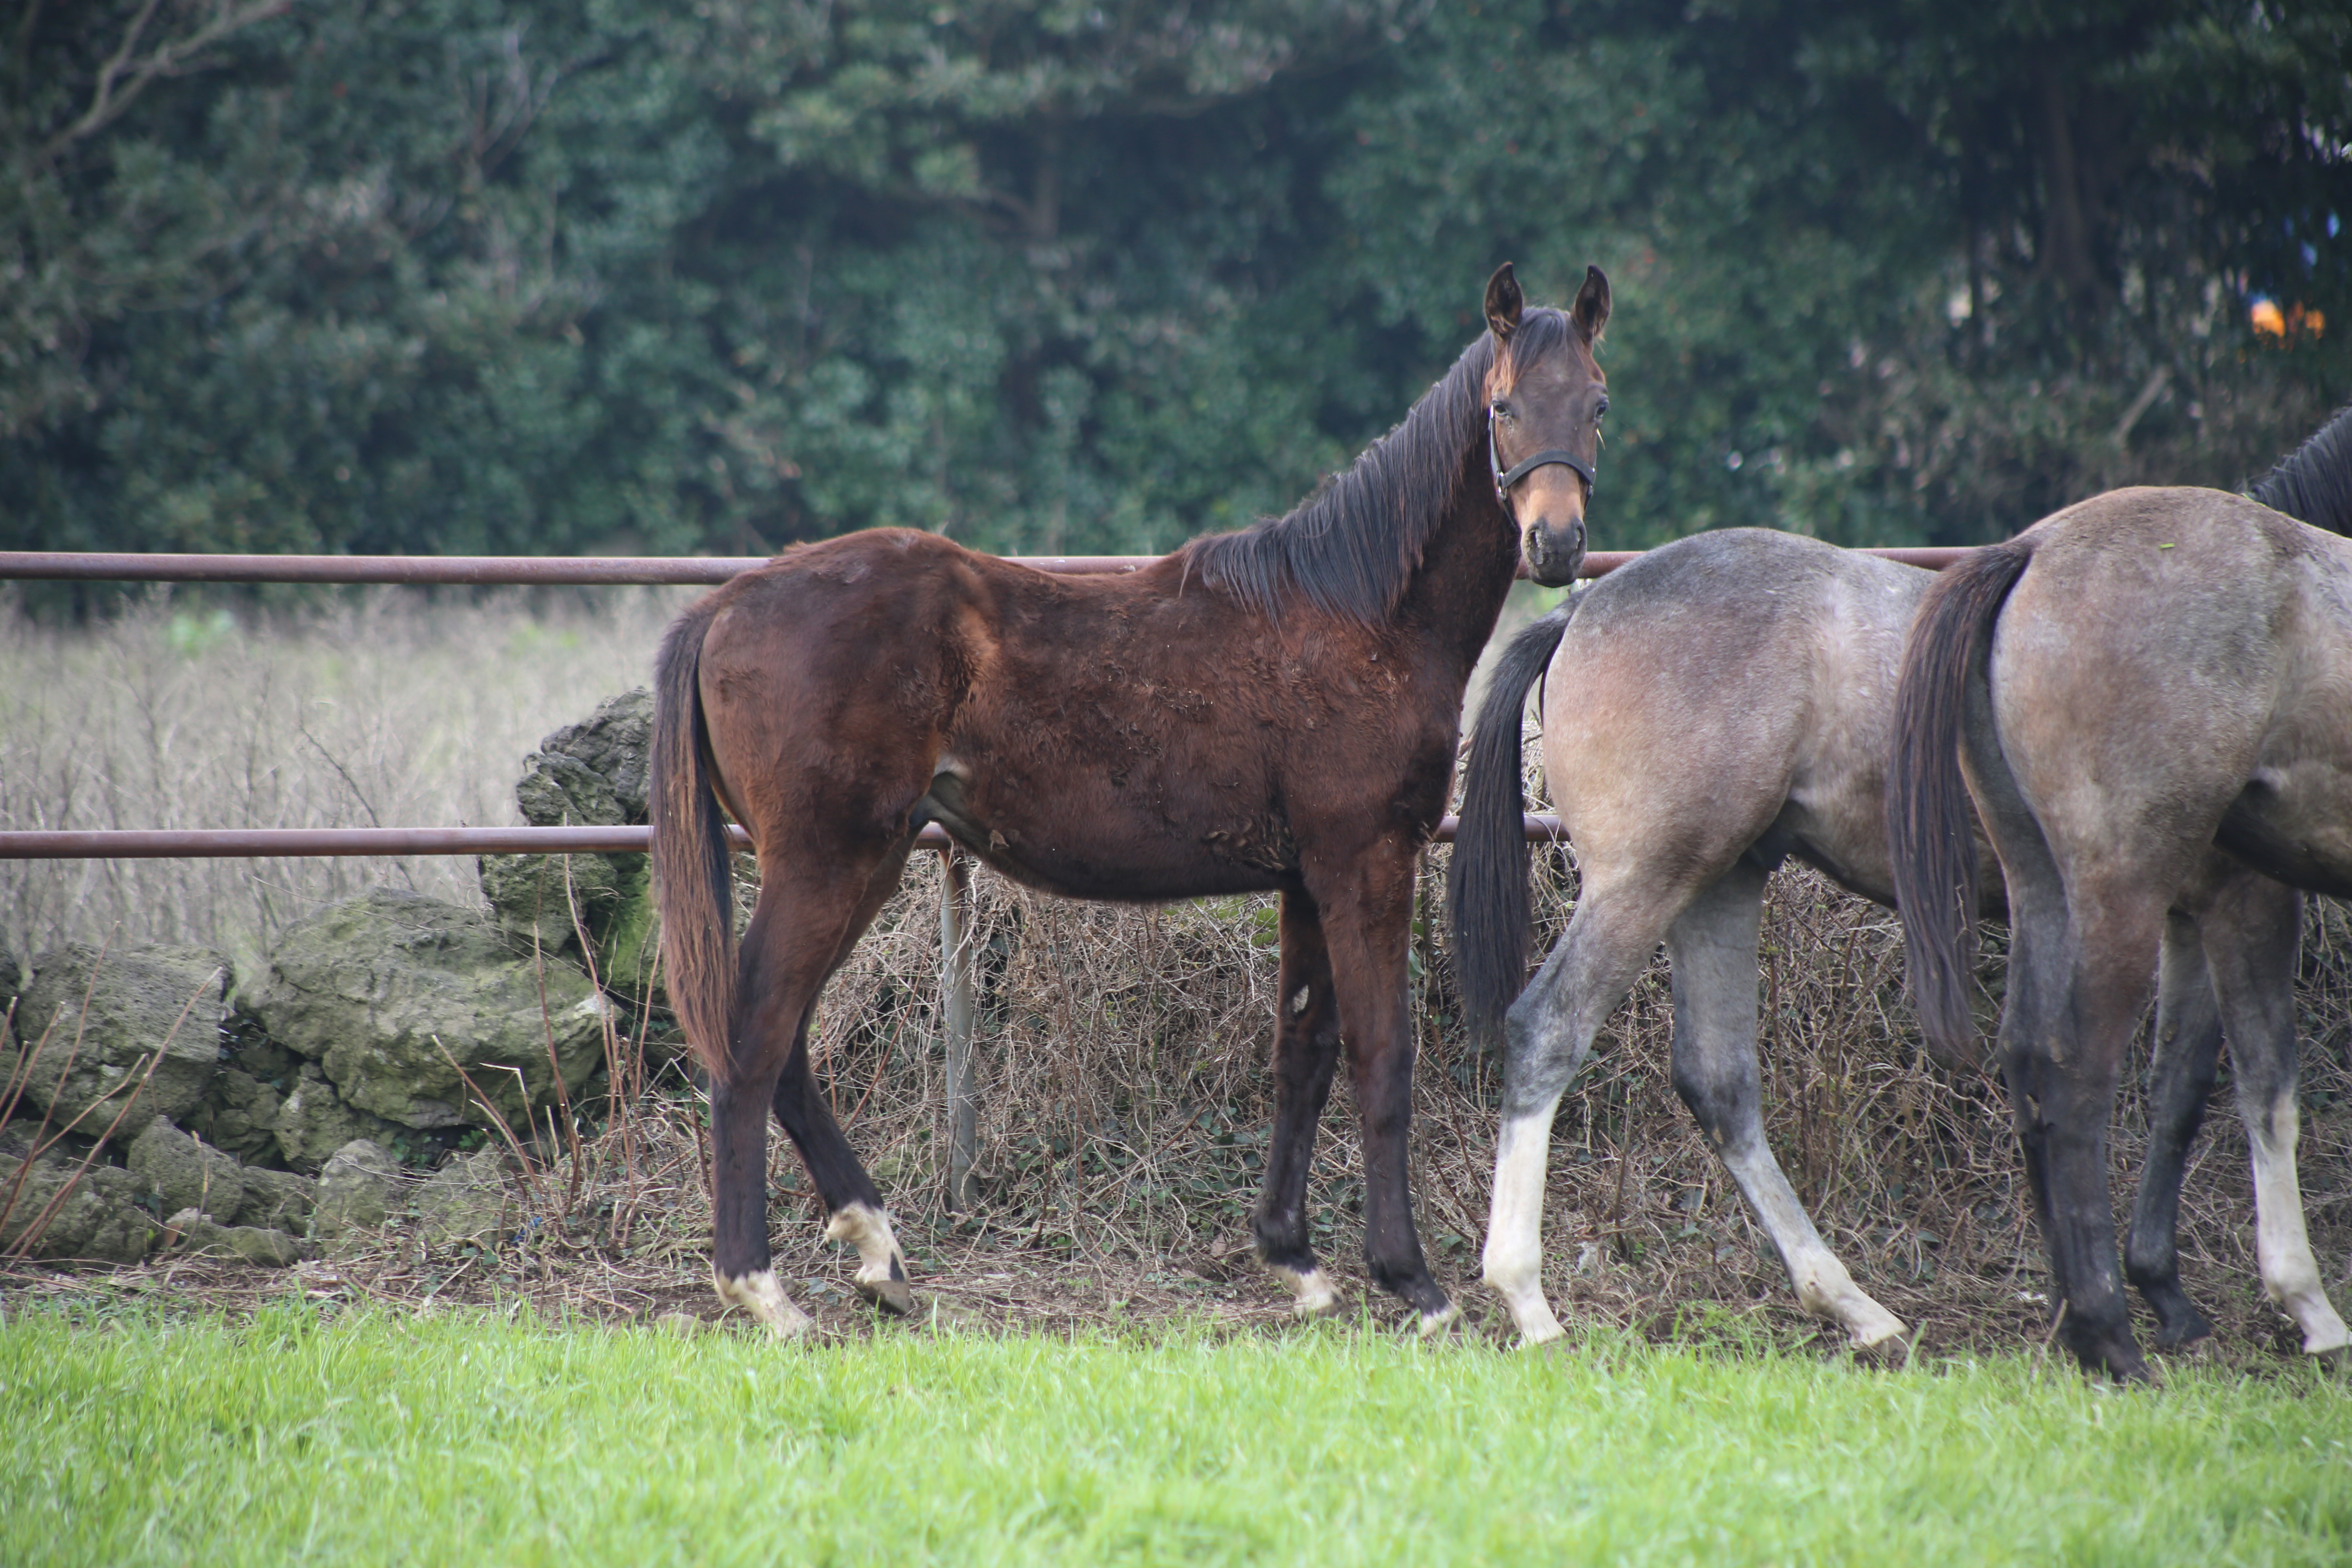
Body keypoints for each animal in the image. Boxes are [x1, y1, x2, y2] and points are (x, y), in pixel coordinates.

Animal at [654, 261, 1618, 1335]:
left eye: (1597, 404)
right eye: (1501, 406)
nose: (1555, 543)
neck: (1362, 612)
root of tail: (723, 606)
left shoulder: (1305, 879)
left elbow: (1303, 1052)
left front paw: (1295, 1260)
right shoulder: (1365, 862)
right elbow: (1381, 1057)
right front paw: (1411, 1280)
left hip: (863, 860)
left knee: (781, 1043)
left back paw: (875, 1249)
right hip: (828, 863)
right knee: (753, 1039)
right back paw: (762, 1287)